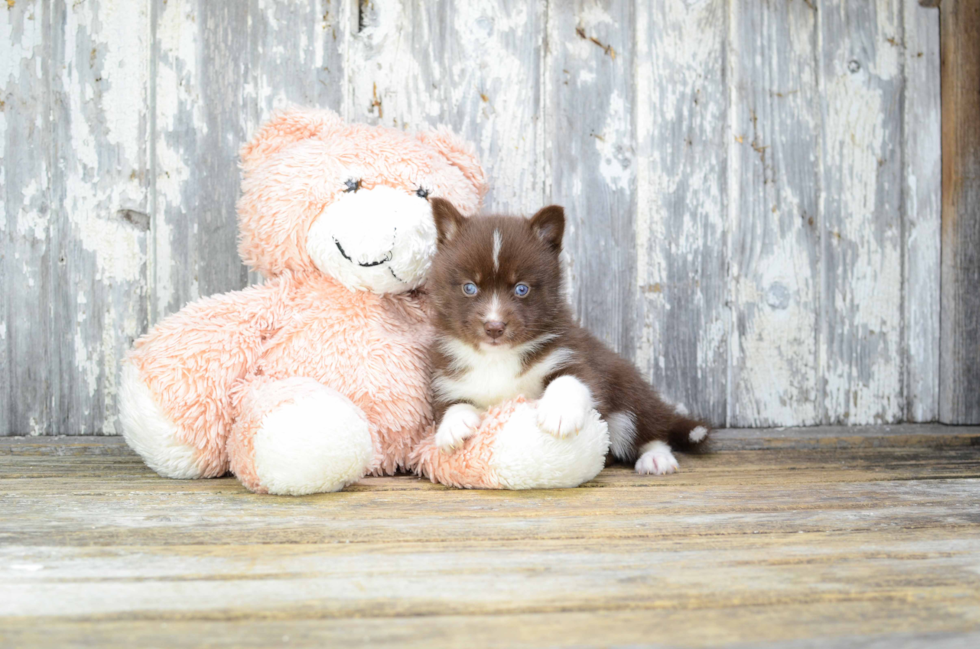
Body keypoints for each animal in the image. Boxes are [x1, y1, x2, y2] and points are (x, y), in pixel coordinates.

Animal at [424, 199, 708, 476]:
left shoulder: (569, 351)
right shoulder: (447, 375)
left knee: (648, 426)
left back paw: (656, 457)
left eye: (521, 289)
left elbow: (573, 379)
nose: (494, 327)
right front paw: (454, 424)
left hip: (628, 386)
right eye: (469, 288)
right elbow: (450, 403)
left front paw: (559, 413)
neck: (498, 357)